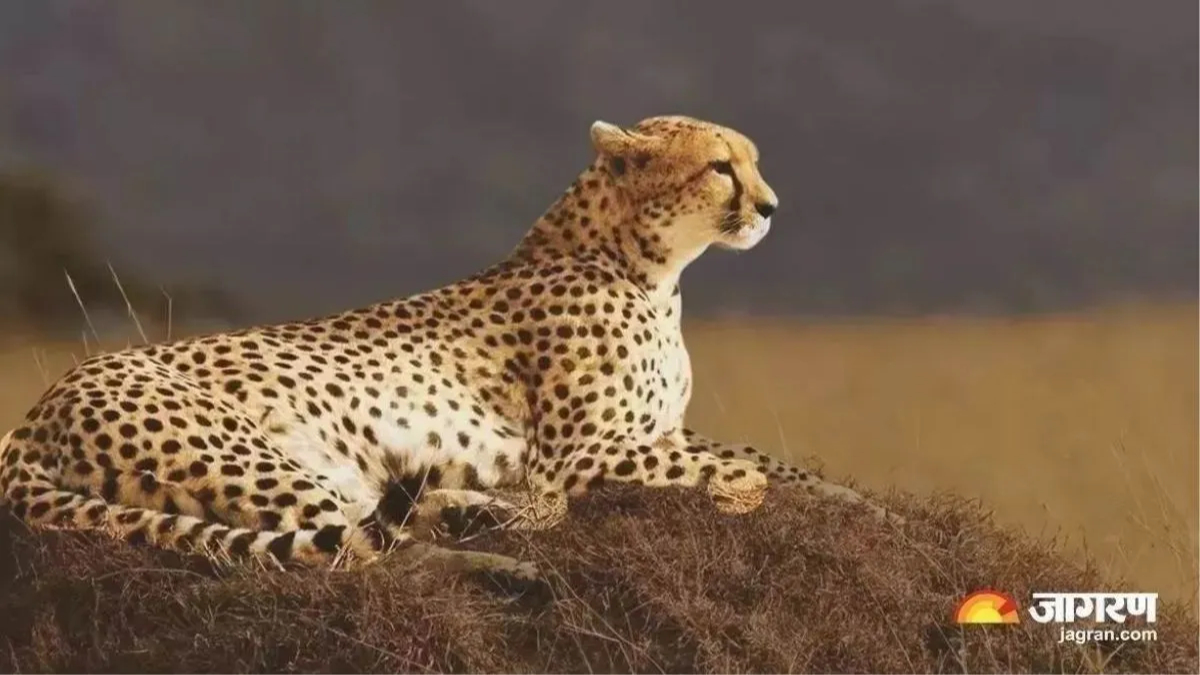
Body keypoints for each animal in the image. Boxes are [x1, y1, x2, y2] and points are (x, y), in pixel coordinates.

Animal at [0, 115, 898, 578]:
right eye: (720, 167)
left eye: (752, 162)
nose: (771, 207)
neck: (649, 267)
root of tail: (33, 412)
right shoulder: (581, 454)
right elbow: (739, 473)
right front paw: (750, 496)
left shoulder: (656, 432)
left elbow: (772, 462)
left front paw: (865, 504)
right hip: (248, 451)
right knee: (360, 551)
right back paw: (508, 559)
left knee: (378, 522)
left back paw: (476, 514)